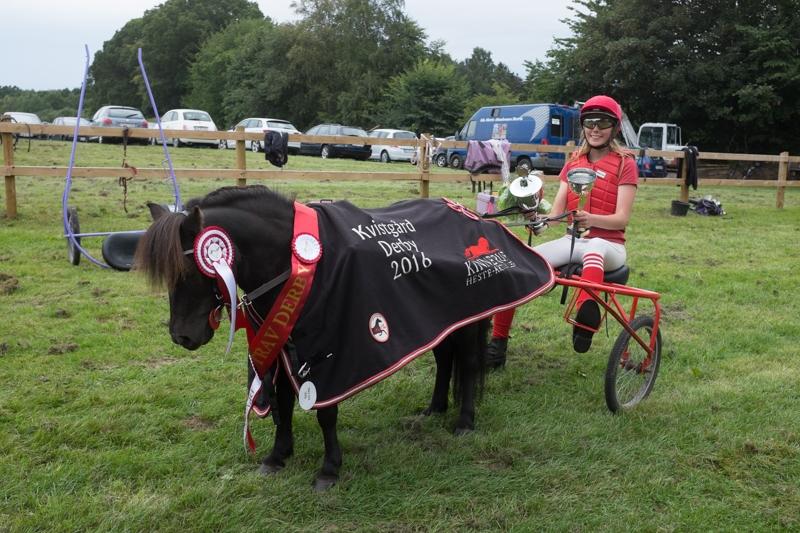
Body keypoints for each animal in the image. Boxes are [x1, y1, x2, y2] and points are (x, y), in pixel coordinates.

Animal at [134, 185, 488, 488]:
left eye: (190, 271)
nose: (183, 336)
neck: (296, 263)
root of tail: (470, 215)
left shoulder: (331, 354)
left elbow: (325, 412)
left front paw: (329, 469)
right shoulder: (279, 343)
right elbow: (283, 401)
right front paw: (278, 455)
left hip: (468, 320)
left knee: (469, 364)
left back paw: (465, 421)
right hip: (439, 320)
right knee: (444, 359)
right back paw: (435, 408)